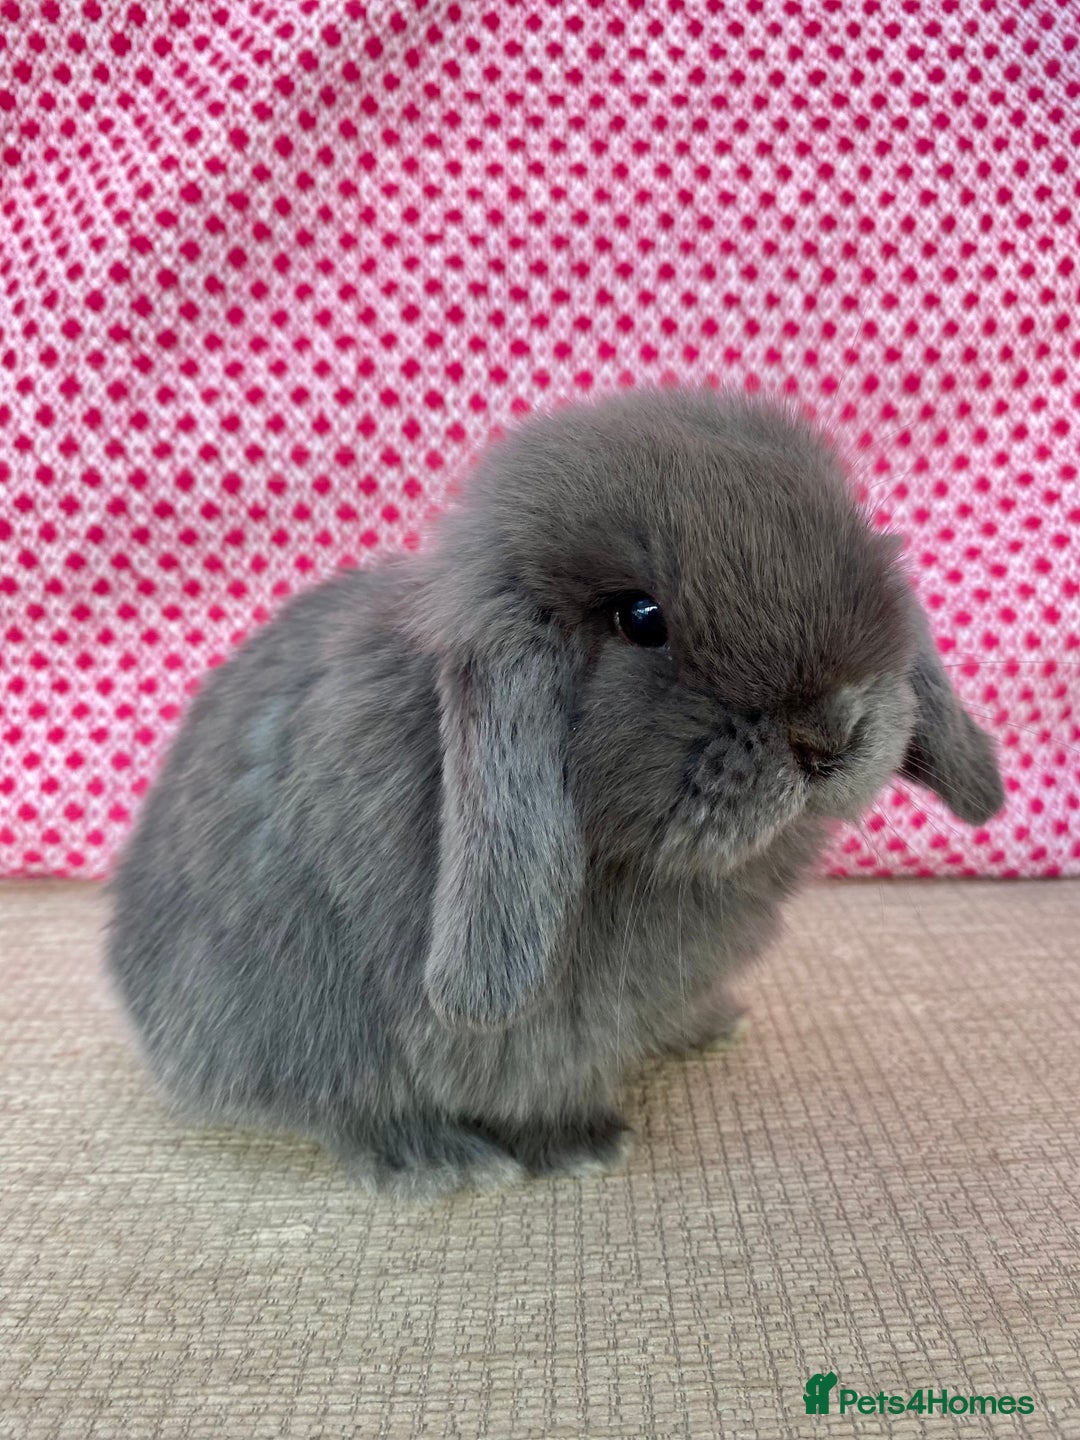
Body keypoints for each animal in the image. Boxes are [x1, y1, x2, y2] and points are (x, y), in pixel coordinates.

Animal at [106, 388, 1005, 1199]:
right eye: (641, 618)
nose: (832, 734)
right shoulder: (522, 1034)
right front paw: (581, 1148)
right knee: (345, 1105)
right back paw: (434, 1162)